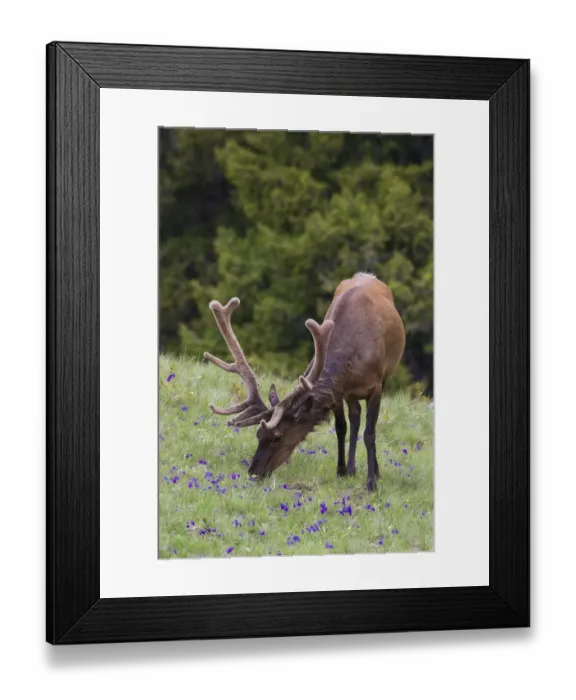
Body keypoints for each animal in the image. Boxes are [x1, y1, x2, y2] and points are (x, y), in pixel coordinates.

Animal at [203, 272, 406, 491]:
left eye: (277, 436)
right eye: (258, 434)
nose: (253, 472)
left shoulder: (376, 385)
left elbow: (370, 434)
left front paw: (372, 482)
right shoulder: (339, 391)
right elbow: (341, 427)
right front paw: (342, 471)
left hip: (384, 377)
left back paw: (373, 472)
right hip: (351, 395)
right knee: (354, 418)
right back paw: (352, 468)